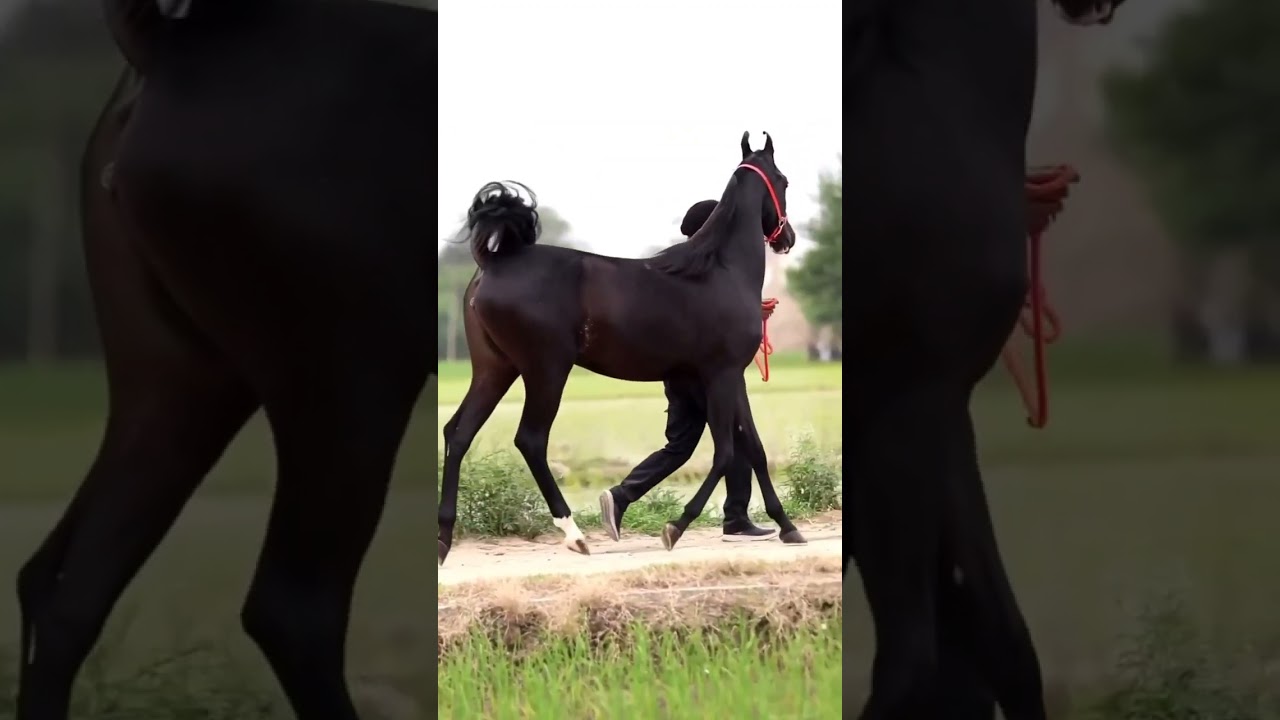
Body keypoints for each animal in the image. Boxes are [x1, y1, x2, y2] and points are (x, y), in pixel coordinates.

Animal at [438, 132, 801, 566]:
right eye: (783, 180)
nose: (787, 239)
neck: (720, 269)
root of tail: (493, 263)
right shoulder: (723, 374)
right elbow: (726, 452)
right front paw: (675, 527)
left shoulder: (722, 377)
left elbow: (754, 448)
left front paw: (788, 527)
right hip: (546, 370)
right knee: (530, 440)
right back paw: (574, 535)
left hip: (495, 368)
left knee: (458, 432)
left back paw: (443, 540)